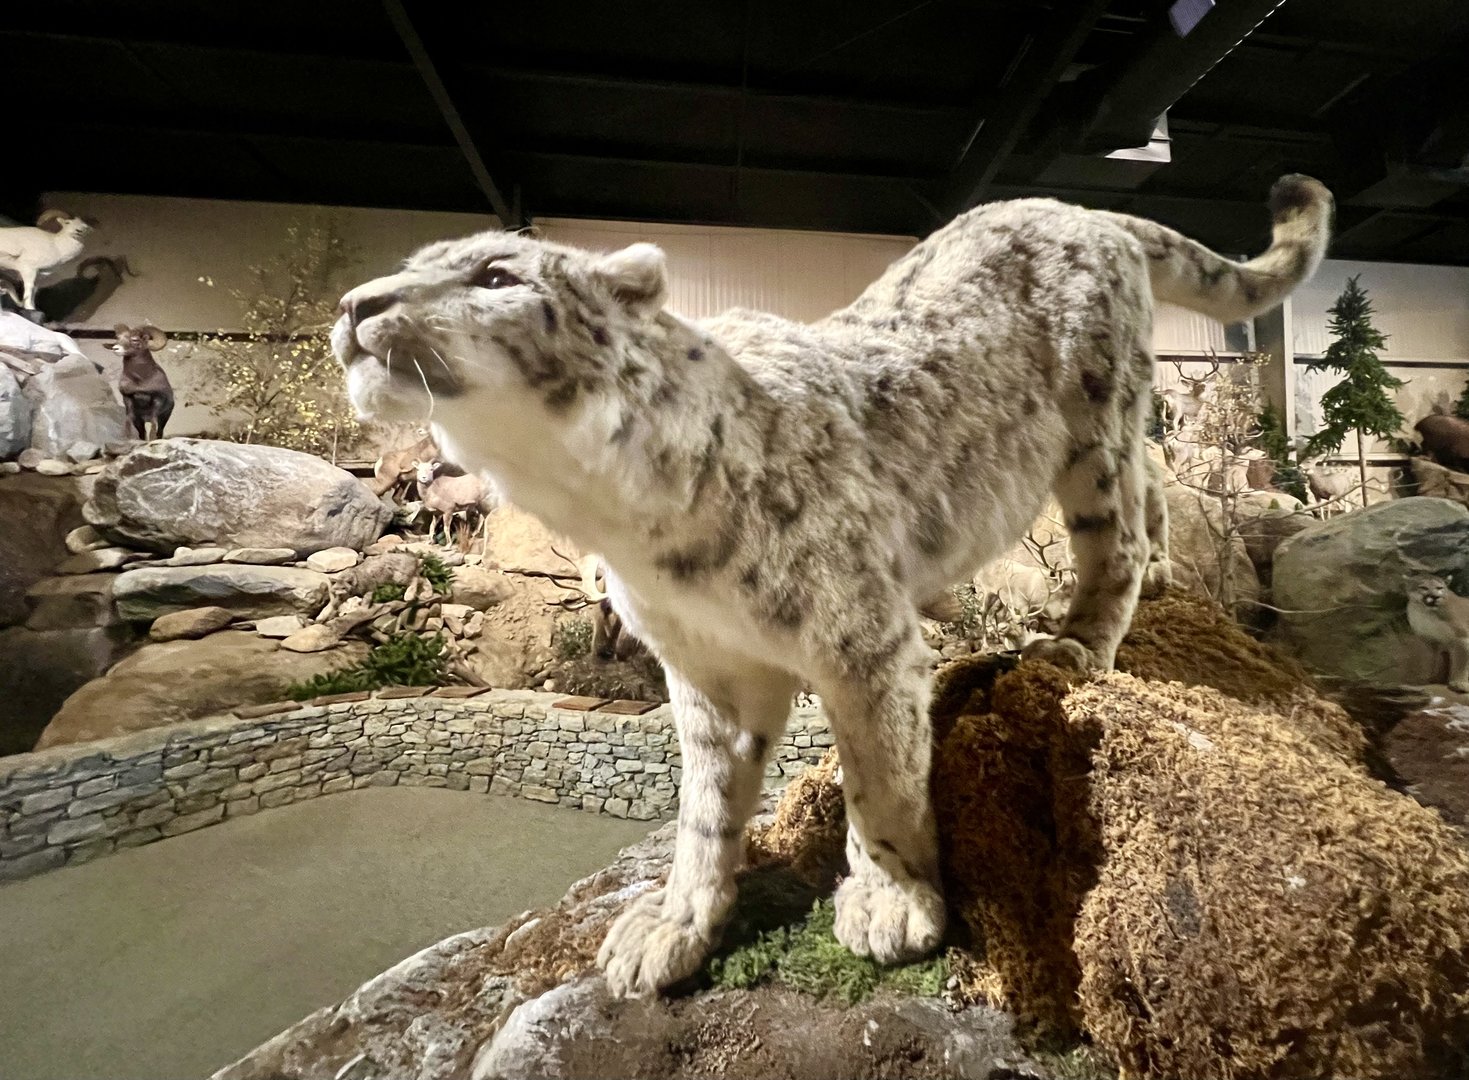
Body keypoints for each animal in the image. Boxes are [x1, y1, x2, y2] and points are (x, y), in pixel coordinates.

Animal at [331, 174, 1333, 998]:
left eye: (497, 274)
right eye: (411, 265)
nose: (353, 302)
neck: (611, 512)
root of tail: (1077, 208)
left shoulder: (863, 640)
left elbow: (879, 778)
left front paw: (890, 902)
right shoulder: (704, 672)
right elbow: (703, 808)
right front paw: (672, 927)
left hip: (1095, 425)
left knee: (1115, 523)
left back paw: (1080, 637)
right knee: (1154, 479)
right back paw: (1161, 573)